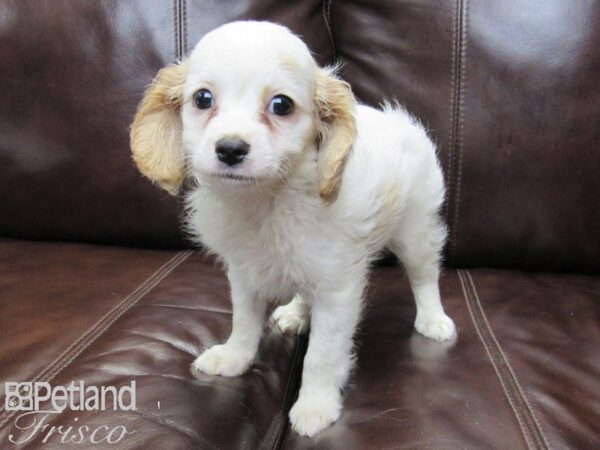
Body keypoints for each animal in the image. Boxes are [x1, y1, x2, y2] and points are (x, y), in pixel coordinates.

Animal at [131, 20, 458, 436]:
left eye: (281, 105)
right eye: (203, 99)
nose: (231, 148)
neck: (267, 200)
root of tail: (399, 118)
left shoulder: (338, 290)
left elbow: (322, 353)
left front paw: (316, 404)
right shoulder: (244, 274)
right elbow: (244, 323)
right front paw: (234, 358)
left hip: (416, 230)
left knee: (424, 275)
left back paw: (432, 319)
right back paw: (296, 312)